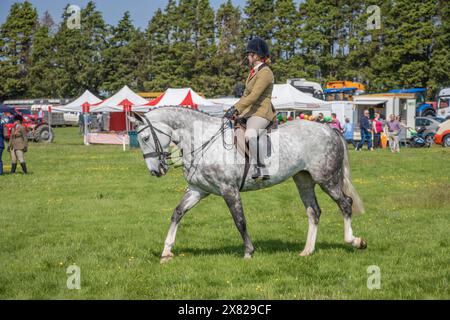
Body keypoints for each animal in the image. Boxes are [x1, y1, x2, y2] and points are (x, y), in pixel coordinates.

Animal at [128, 106, 368, 264]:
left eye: (146, 138)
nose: (155, 171)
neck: (203, 141)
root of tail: (330, 130)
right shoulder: (199, 190)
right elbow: (177, 213)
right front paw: (166, 252)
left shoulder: (229, 189)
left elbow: (240, 221)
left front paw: (248, 252)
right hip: (304, 180)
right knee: (314, 211)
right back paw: (307, 251)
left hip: (327, 179)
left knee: (345, 204)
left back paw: (355, 241)